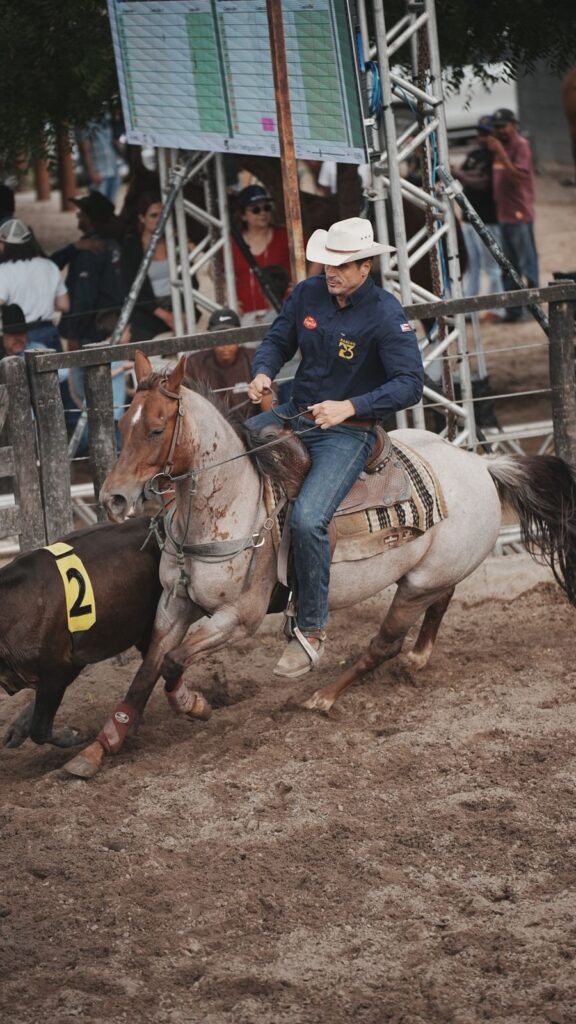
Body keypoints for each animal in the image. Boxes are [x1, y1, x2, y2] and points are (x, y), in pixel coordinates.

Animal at [61, 349, 576, 778]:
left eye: (155, 429)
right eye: (122, 425)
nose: (113, 498)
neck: (229, 503)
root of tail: (484, 467)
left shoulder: (236, 620)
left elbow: (171, 664)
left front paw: (196, 704)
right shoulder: (173, 604)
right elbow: (145, 672)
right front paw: (97, 749)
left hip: (415, 586)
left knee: (384, 643)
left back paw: (323, 696)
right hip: (428, 574)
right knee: (442, 600)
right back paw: (419, 656)